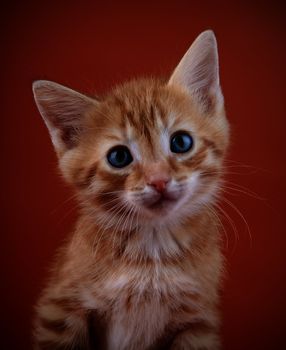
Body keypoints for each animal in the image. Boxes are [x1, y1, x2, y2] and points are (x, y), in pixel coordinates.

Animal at [33, 30, 230, 350]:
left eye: (181, 142)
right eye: (119, 157)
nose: (159, 180)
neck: (151, 253)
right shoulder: (60, 308)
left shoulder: (199, 322)